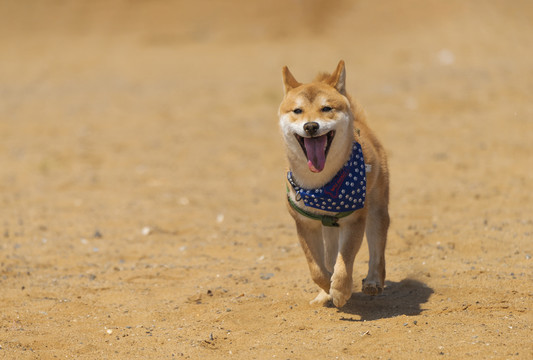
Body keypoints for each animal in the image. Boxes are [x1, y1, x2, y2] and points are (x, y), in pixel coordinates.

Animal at [278, 61, 386, 306]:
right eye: (297, 111)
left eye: (326, 108)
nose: (310, 126)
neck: (322, 185)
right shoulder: (305, 224)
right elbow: (317, 269)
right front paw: (327, 288)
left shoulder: (355, 219)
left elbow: (344, 261)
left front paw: (340, 290)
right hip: (328, 228)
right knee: (329, 256)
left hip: (376, 210)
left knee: (377, 249)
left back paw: (373, 281)